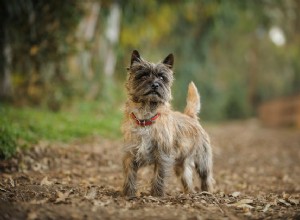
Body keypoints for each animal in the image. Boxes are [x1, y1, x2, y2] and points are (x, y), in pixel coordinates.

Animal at [121, 50, 213, 198]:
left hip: (202, 160)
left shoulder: (163, 156)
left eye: (162, 77)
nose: (155, 84)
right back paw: (189, 193)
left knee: (206, 178)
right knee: (187, 179)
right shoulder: (130, 154)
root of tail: (190, 116)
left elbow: (159, 176)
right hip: (181, 165)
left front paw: (156, 195)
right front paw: (128, 194)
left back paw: (207, 192)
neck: (146, 118)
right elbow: (129, 175)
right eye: (143, 75)